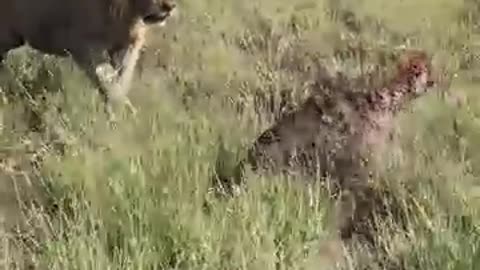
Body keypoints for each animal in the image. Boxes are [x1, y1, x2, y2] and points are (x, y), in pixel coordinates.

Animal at [0, 0, 177, 122]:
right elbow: (109, 84)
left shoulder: (130, 45)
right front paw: (124, 119)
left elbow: (120, 80)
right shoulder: (85, 46)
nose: (169, 6)